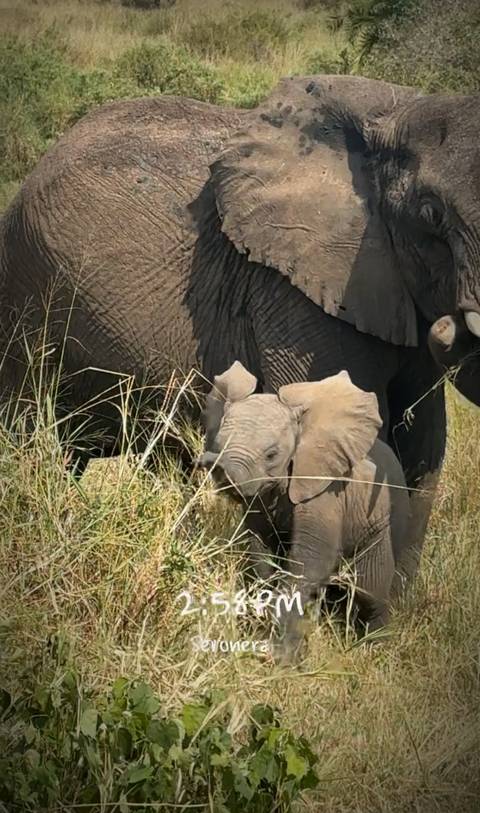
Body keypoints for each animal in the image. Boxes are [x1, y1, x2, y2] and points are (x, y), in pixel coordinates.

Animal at [1, 75, 480, 583]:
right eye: (431, 214)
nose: (453, 325)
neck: (395, 113)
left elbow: (423, 449)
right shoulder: (292, 294)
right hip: (25, 300)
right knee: (31, 439)